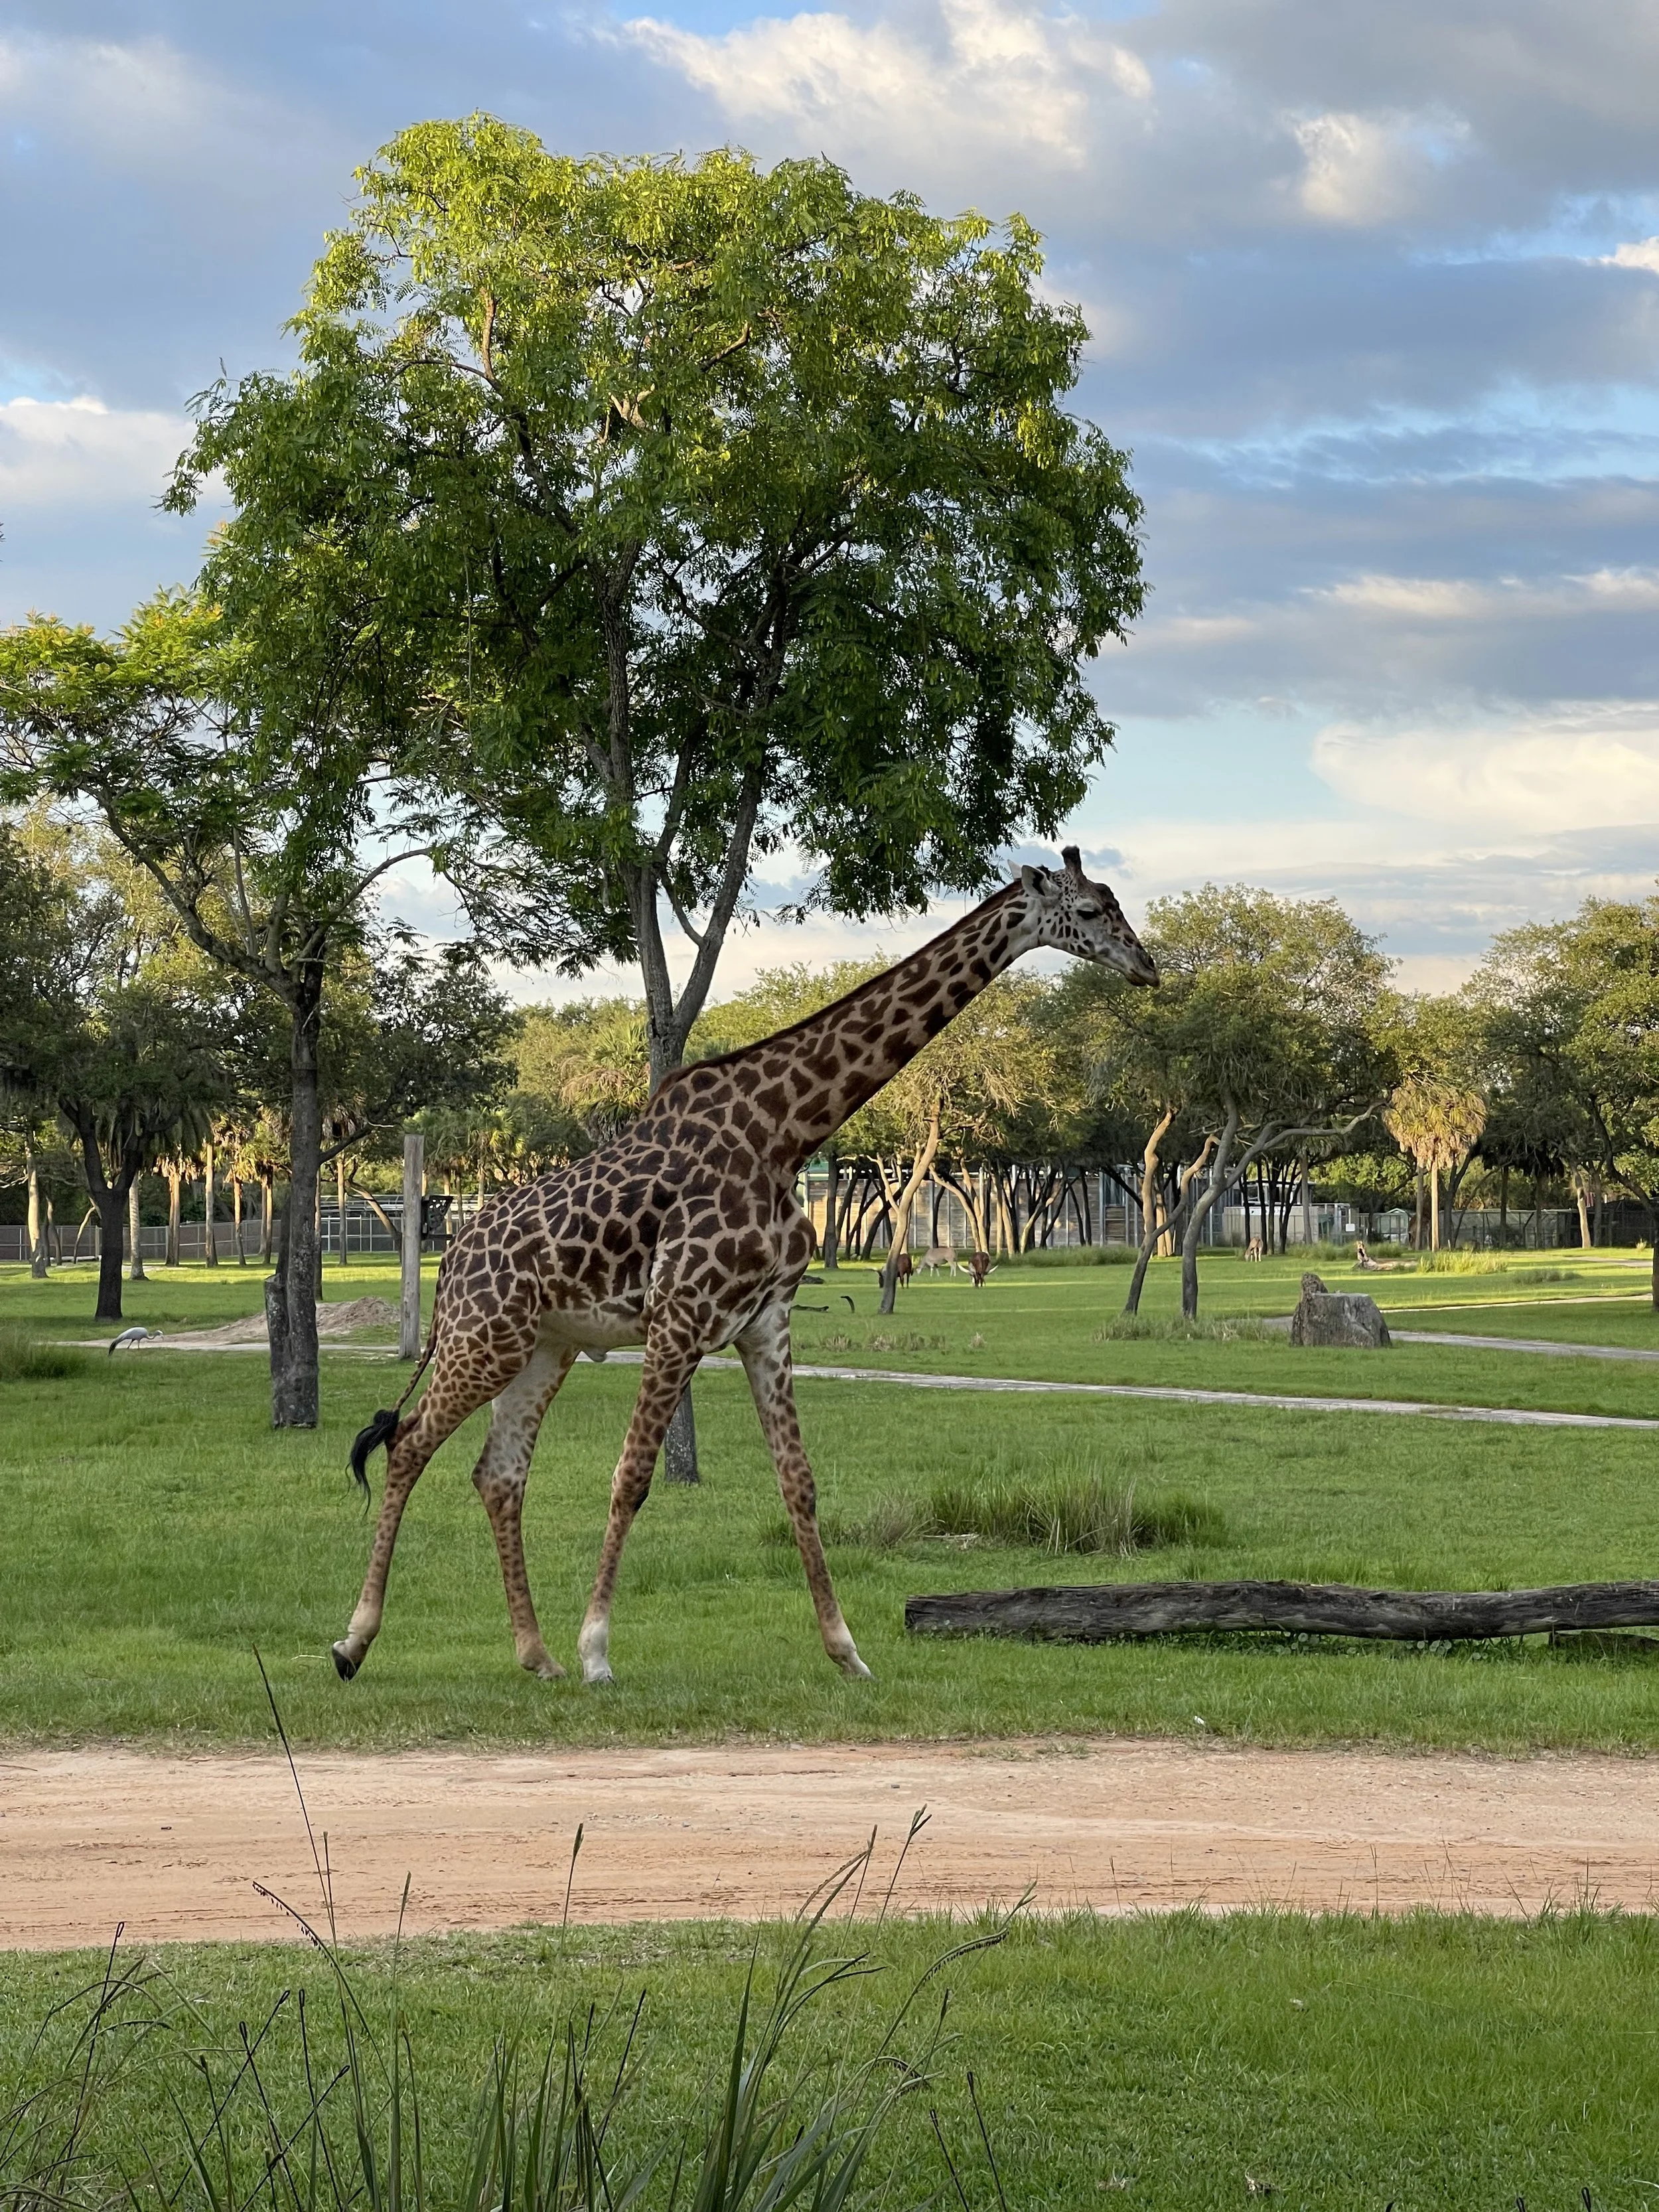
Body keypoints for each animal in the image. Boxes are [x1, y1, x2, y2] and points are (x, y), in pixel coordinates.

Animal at [333, 848, 1158, 1688]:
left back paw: (535, 1655)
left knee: (497, 1474)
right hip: (485, 1337)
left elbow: (799, 1482)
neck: (784, 1134)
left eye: (1114, 902)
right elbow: (632, 1477)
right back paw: (354, 1642)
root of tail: (452, 1260)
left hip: (543, 1347)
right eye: (1089, 911)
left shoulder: (765, 1322)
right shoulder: (679, 1315)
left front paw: (847, 1651)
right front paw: (597, 1651)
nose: (1146, 966)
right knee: (408, 1445)